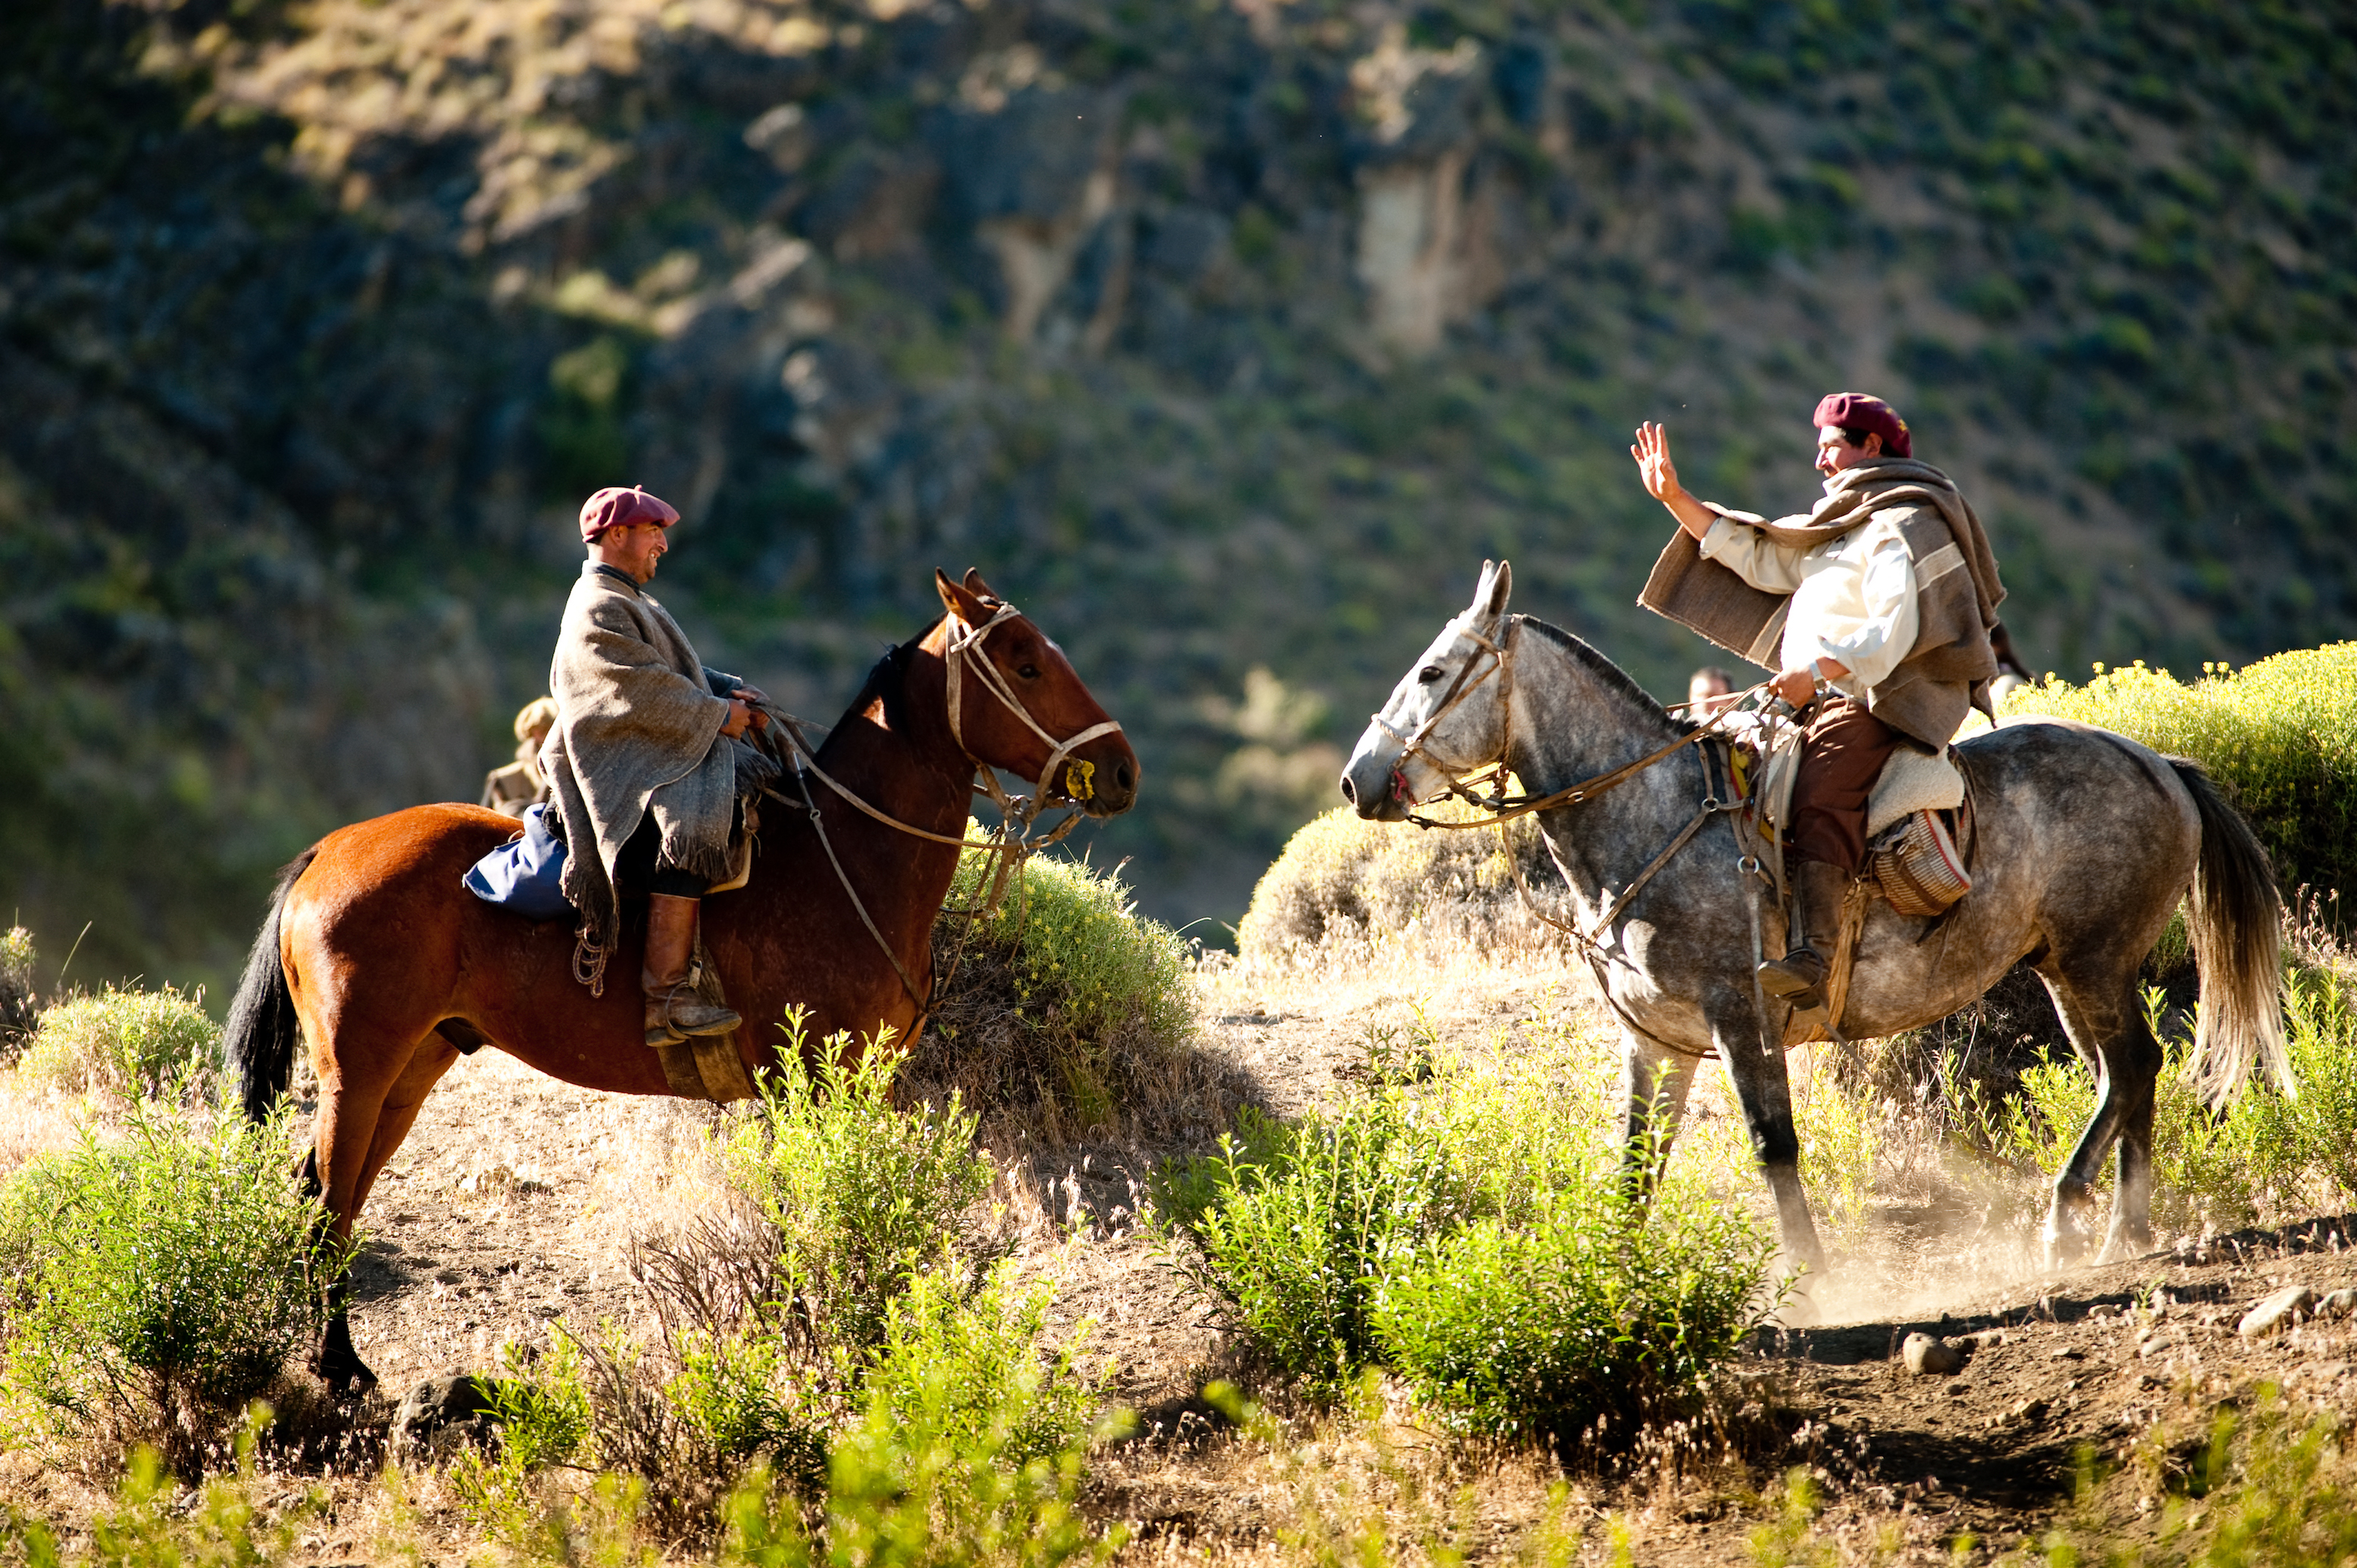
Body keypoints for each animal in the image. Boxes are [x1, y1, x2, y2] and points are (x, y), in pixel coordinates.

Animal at [223, 570, 1140, 1390]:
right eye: (1024, 663)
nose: (1123, 770)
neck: (844, 862)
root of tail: (327, 853)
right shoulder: (809, 1085)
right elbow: (815, 1209)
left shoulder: (862, 1085)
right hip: (357, 1067)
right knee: (328, 1202)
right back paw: (337, 1365)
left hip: (416, 1064)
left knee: (330, 1193)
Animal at [1340, 560, 2284, 1287]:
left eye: (1432, 673)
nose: (1358, 780)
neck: (1656, 817)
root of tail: (2159, 763)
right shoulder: (1656, 1042)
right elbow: (1635, 1169)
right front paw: (1613, 1289)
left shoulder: (1741, 1022)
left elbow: (1773, 1146)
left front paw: (1813, 1284)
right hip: (2065, 969)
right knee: (2128, 1075)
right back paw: (2126, 1228)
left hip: (2094, 962)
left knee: (2131, 1069)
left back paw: (2074, 1221)